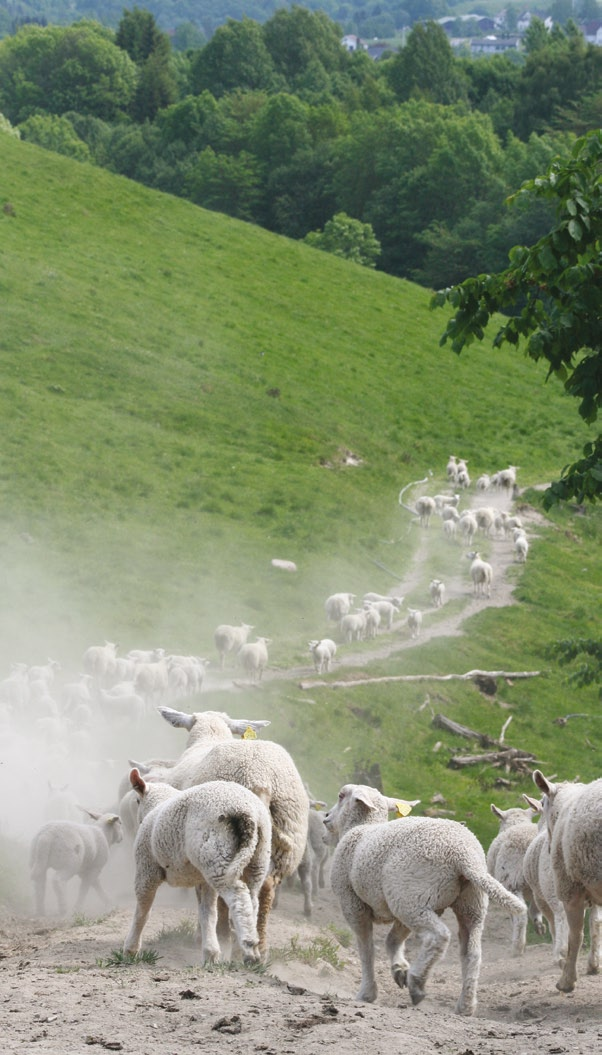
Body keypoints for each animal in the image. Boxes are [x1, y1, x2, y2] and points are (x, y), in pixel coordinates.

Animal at [123, 768, 272, 966]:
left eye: (137, 800)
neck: (158, 805)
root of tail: (247, 812)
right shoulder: (203, 881)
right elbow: (207, 913)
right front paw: (210, 953)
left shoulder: (146, 868)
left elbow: (143, 910)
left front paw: (131, 949)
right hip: (255, 859)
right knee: (252, 900)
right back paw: (249, 948)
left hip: (218, 856)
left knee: (238, 897)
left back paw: (249, 949)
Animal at [154, 708, 309, 957]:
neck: (211, 734)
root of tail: (260, 778)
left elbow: (204, 897)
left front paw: (202, 935)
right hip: (284, 838)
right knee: (265, 886)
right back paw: (259, 945)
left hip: (223, 840)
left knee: (229, 889)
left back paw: (227, 939)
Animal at [324, 784, 527, 1012]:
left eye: (341, 796)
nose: (326, 818)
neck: (361, 827)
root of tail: (463, 856)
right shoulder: (398, 907)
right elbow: (392, 940)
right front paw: (399, 969)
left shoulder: (352, 903)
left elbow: (366, 949)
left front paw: (367, 993)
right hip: (462, 902)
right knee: (472, 952)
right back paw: (465, 1005)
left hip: (411, 897)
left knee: (438, 936)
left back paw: (417, 983)